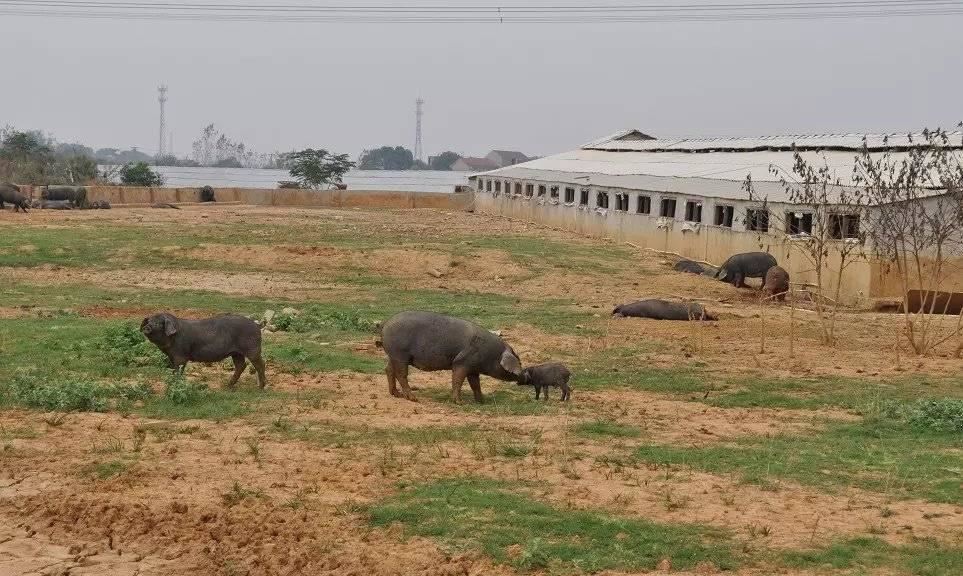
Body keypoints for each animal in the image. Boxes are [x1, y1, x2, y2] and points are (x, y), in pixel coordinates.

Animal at [140, 312, 268, 390]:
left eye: (158, 323)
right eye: (149, 321)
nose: (146, 327)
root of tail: (257, 326)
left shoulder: (180, 356)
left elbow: (179, 370)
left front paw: (176, 384)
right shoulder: (171, 357)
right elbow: (173, 370)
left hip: (253, 348)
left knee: (260, 364)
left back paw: (261, 387)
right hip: (236, 353)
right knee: (241, 365)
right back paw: (228, 386)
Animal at [378, 312, 528, 402]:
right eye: (519, 362)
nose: (525, 374)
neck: (491, 354)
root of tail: (386, 323)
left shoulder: (473, 369)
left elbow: (475, 384)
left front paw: (482, 401)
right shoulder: (461, 362)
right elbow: (457, 380)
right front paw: (459, 402)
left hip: (393, 355)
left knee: (389, 370)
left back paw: (396, 394)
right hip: (400, 354)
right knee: (401, 374)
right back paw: (413, 398)